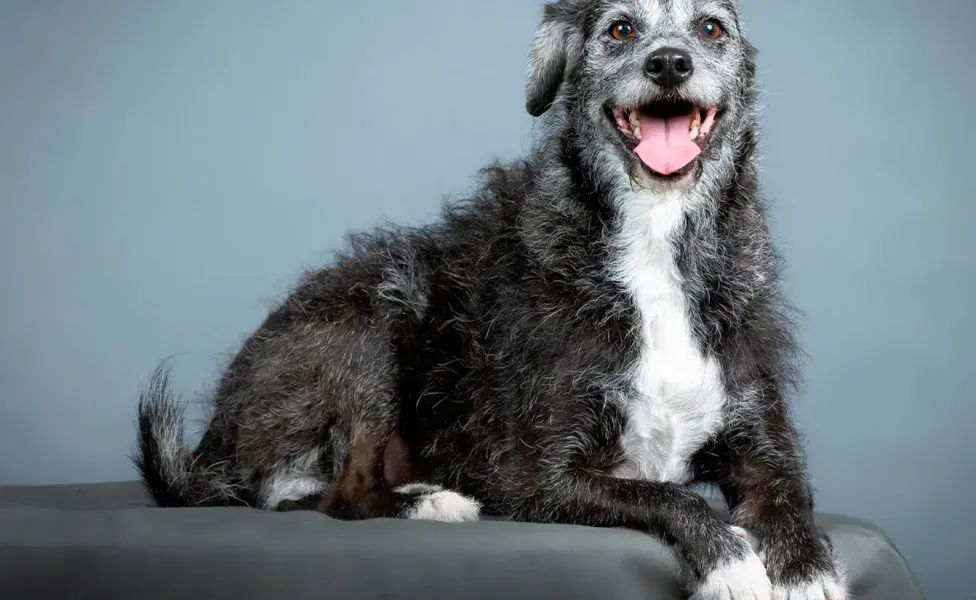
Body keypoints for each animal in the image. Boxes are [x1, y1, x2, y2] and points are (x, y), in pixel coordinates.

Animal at [135, 2, 848, 596]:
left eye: (710, 28)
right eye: (621, 28)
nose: (670, 62)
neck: (655, 238)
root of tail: (218, 433)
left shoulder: (761, 448)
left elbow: (792, 500)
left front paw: (808, 572)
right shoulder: (533, 478)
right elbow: (672, 499)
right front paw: (729, 559)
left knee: (293, 495)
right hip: (374, 318)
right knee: (343, 494)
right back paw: (431, 501)